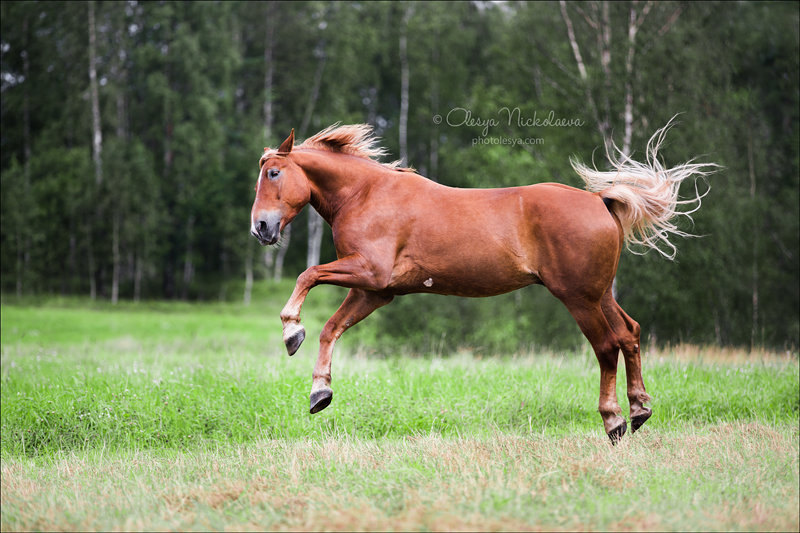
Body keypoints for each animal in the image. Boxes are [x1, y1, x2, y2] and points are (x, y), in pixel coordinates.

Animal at [248, 119, 712, 440]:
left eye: (273, 174)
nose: (261, 228)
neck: (365, 194)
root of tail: (601, 200)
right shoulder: (376, 292)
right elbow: (330, 328)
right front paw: (319, 391)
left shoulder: (368, 271)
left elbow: (308, 274)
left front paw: (291, 328)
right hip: (600, 293)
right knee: (630, 334)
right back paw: (639, 410)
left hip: (579, 297)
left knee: (606, 347)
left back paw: (614, 420)